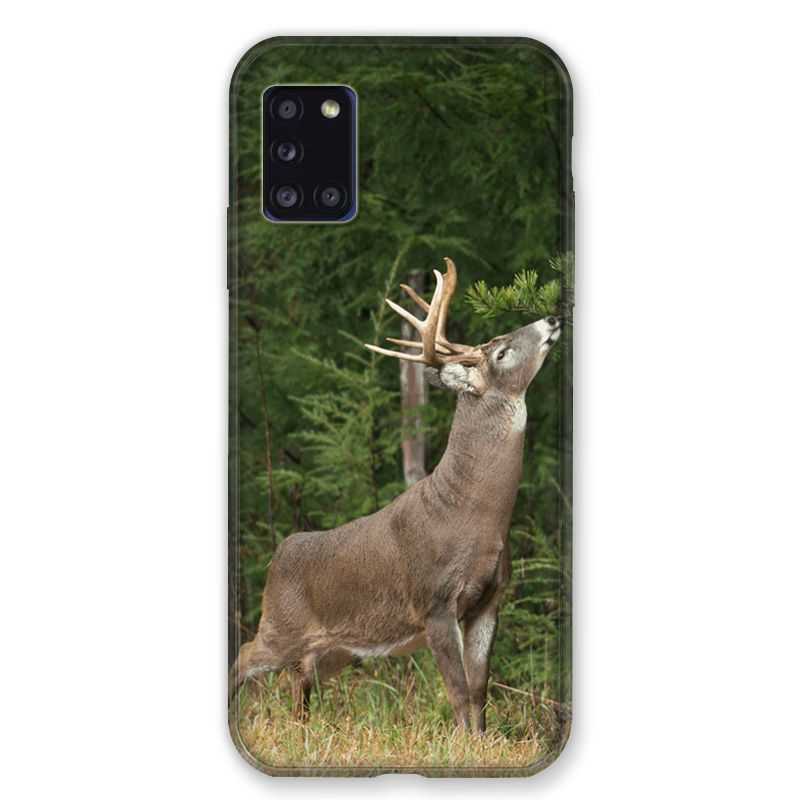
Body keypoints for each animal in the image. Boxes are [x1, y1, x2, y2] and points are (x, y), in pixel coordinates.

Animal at [231, 257, 561, 733]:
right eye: (501, 352)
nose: (552, 318)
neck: (474, 515)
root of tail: (278, 555)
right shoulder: (435, 602)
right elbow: (458, 691)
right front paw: (463, 744)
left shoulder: (490, 600)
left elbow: (480, 690)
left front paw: (482, 741)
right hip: (280, 624)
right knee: (244, 656)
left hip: (334, 649)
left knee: (299, 682)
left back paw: (303, 729)